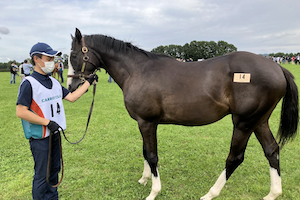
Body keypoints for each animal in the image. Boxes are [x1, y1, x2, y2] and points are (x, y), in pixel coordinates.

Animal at [67, 28, 298, 200]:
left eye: (74, 55)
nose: (71, 87)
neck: (137, 70)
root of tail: (277, 68)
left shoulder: (147, 122)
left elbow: (152, 155)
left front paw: (154, 191)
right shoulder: (144, 123)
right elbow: (145, 152)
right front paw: (144, 179)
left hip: (243, 123)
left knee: (235, 158)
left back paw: (210, 194)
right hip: (259, 121)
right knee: (272, 150)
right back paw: (272, 193)